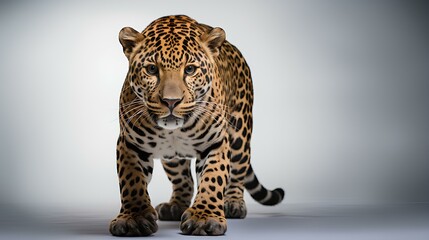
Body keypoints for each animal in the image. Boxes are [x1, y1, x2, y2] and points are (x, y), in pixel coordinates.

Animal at [109, 15, 284, 236]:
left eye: (190, 69)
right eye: (151, 69)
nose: (171, 102)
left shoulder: (216, 143)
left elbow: (213, 178)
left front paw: (205, 217)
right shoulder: (130, 144)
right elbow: (131, 182)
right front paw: (134, 218)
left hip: (240, 135)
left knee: (238, 172)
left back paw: (233, 203)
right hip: (172, 157)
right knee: (184, 180)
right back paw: (175, 205)